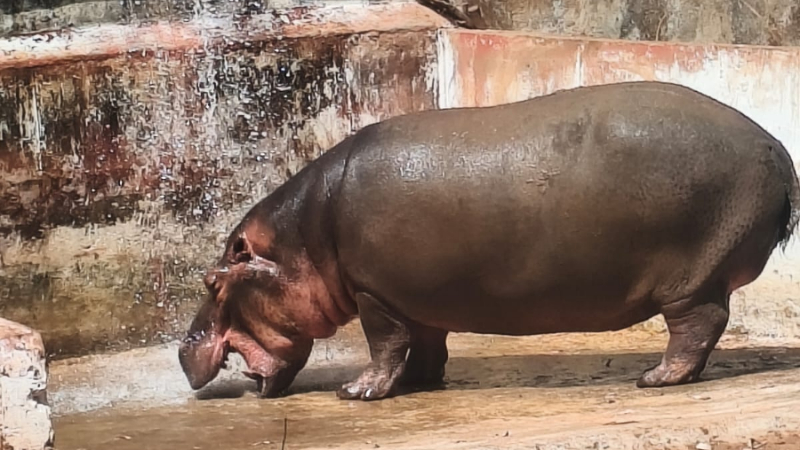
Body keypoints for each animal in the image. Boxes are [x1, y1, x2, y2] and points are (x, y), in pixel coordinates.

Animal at [179, 81, 799, 401]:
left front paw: (357, 392)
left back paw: (655, 378)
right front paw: (422, 383)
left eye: (212, 280)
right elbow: (426, 343)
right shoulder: (412, 296)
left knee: (698, 325)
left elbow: (385, 345)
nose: (183, 347)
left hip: (692, 279)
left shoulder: (374, 294)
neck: (303, 238)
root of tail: (776, 145)